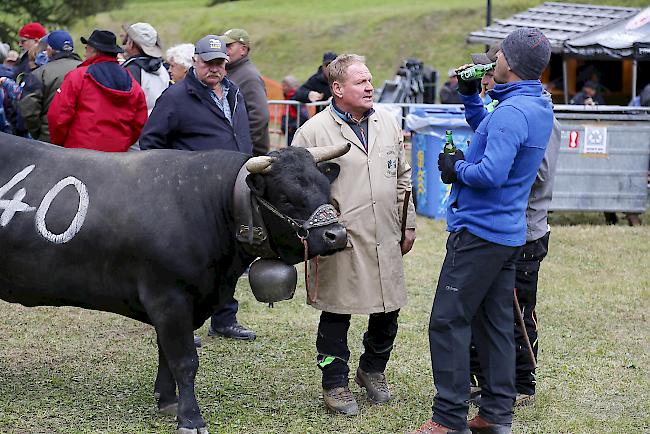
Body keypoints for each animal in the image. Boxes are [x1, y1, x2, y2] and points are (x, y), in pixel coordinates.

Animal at [0, 133, 350, 434]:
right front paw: (190, 418)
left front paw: (168, 401)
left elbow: (165, 352)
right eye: (286, 198)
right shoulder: (169, 298)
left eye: (325, 187)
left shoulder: (179, 303)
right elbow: (184, 360)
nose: (337, 235)